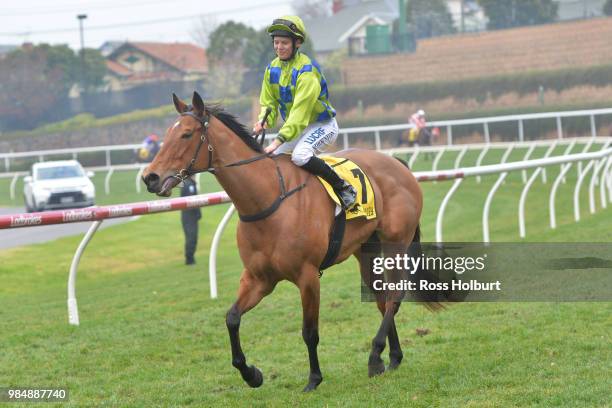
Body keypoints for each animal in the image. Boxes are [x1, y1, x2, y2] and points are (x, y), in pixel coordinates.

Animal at [143, 92, 440, 392]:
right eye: (167, 134)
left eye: (186, 134)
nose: (150, 177)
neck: (268, 199)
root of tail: (397, 164)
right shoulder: (258, 278)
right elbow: (231, 318)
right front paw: (251, 374)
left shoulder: (307, 276)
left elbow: (309, 332)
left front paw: (314, 378)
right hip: (366, 250)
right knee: (382, 298)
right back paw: (392, 357)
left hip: (396, 243)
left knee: (394, 297)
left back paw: (375, 355)